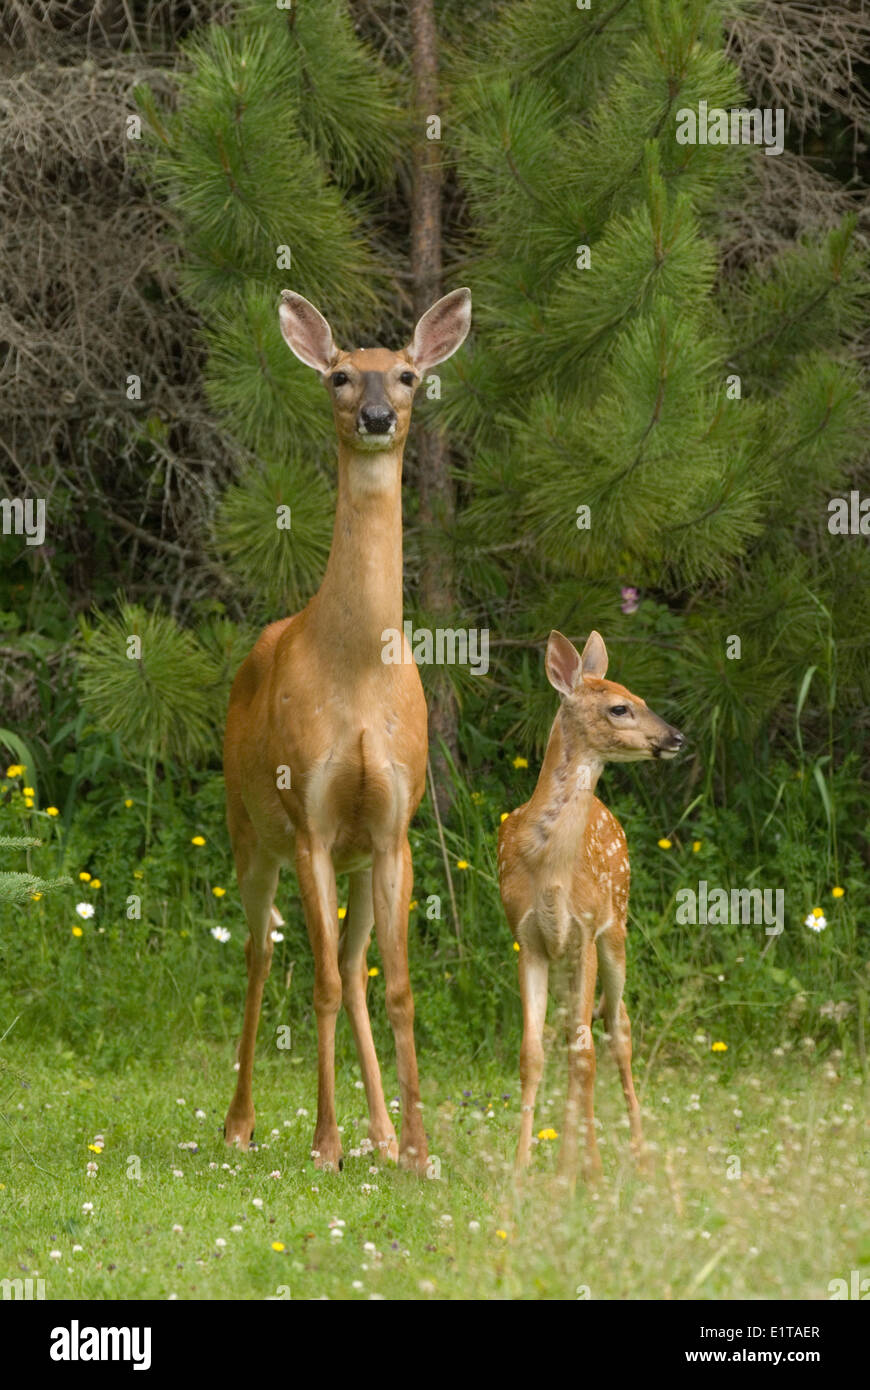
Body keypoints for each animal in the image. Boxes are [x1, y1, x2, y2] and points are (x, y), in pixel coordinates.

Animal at [219, 284, 469, 1173]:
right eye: (336, 374)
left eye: (406, 374)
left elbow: (396, 987)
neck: (359, 672)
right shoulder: (311, 821)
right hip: (248, 827)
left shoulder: (392, 826)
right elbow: (320, 983)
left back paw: (384, 1134)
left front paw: (419, 1148)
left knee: (358, 959)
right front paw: (324, 1142)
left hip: (363, 858)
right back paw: (241, 1122)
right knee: (261, 954)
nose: (374, 415)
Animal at [497, 631, 680, 1184]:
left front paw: (585, 1172)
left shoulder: (585, 931)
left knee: (617, 1030)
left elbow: (586, 1055)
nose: (677, 737)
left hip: (616, 930)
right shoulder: (529, 939)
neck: (549, 869)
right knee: (570, 1034)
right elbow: (532, 1053)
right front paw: (521, 1169)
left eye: (640, 697)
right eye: (620, 707)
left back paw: (636, 1157)